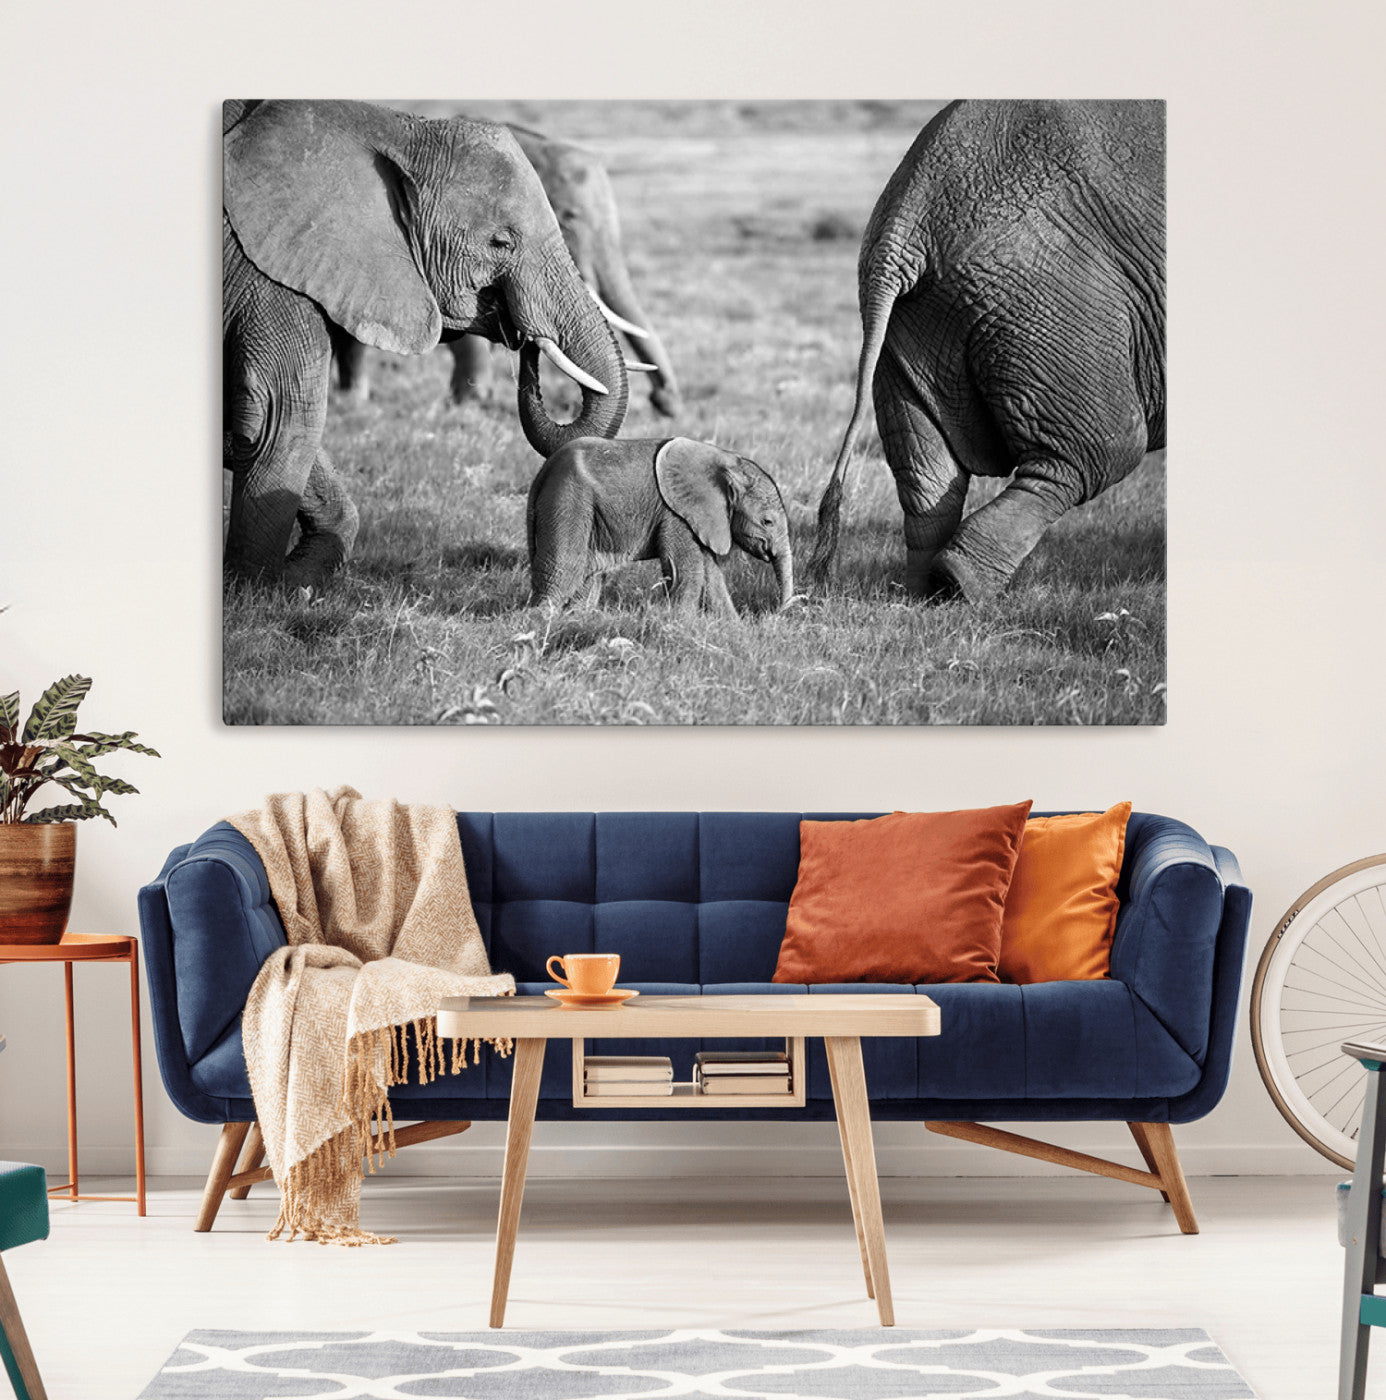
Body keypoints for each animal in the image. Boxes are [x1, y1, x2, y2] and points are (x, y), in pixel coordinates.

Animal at [222, 99, 628, 585]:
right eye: (501, 242)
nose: (526, 340)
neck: (392, 128)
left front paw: (294, 578)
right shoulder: (267, 270)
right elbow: (280, 414)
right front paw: (255, 589)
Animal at [527, 436, 794, 617]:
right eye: (767, 522)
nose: (776, 612)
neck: (726, 460)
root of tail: (543, 471)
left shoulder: (699, 517)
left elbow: (711, 574)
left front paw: (734, 629)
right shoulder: (676, 514)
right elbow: (687, 570)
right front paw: (683, 623)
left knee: (589, 574)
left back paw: (576, 619)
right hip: (568, 498)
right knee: (565, 568)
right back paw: (541, 620)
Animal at [812, 100, 1165, 601]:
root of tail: (907, 216)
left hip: (912, 319)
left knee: (926, 471)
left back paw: (925, 592)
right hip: (1048, 294)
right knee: (1097, 450)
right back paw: (960, 583)